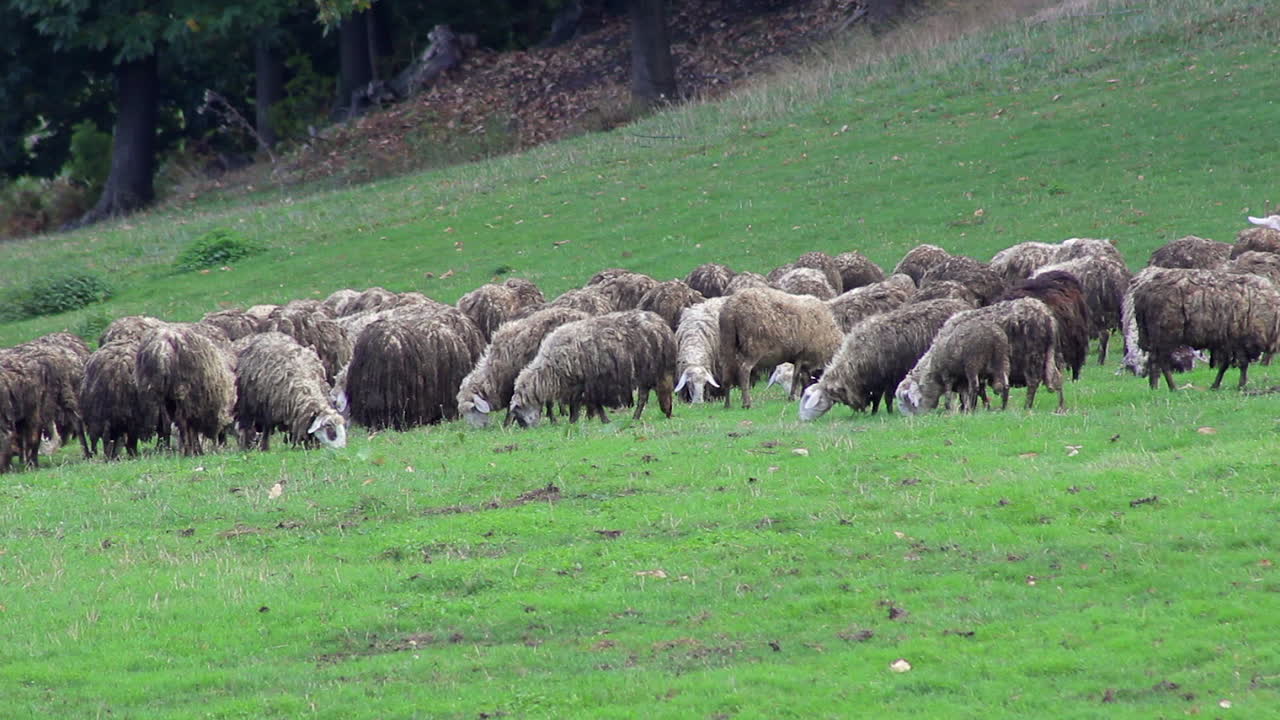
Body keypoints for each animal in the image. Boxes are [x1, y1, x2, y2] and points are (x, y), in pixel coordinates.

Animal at [135, 324, 237, 456]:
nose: (223, 444)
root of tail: (163, 349)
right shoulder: (196, 405)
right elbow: (193, 429)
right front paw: (197, 449)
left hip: (158, 392)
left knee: (165, 423)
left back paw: (164, 449)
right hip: (182, 390)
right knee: (181, 422)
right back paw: (187, 450)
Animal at [509, 310, 676, 426]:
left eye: (519, 415)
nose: (527, 428)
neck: (550, 369)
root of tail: (661, 324)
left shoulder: (592, 381)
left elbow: (594, 403)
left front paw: (603, 420)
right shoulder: (580, 382)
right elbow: (576, 403)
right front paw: (573, 421)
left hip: (651, 370)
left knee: (648, 395)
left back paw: (645, 415)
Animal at [798, 299, 972, 421]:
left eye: (812, 400)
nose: (801, 420)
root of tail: (963, 304)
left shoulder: (888, 376)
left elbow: (886, 398)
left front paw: (888, 413)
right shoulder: (876, 380)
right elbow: (876, 399)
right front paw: (874, 413)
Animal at [1125, 267, 1280, 390]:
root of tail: (1142, 293)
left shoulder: (1226, 342)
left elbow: (1225, 365)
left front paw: (1215, 386)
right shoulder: (1239, 339)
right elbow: (1242, 364)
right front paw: (1241, 386)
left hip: (1155, 335)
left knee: (1153, 360)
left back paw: (1154, 387)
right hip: (1165, 333)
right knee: (1161, 361)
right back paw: (1172, 387)